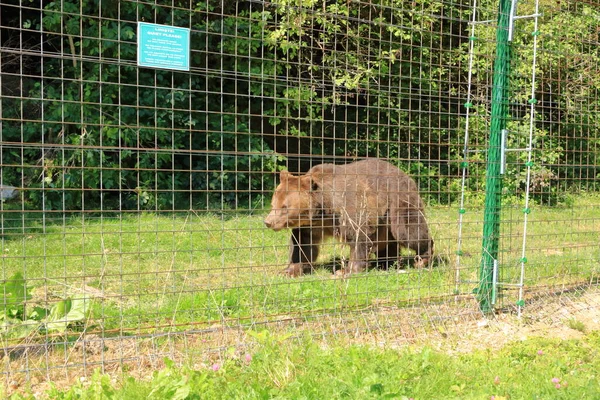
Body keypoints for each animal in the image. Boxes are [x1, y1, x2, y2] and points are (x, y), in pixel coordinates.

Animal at [264, 158, 434, 276]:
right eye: (273, 204)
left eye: (284, 207)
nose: (268, 222)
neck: (324, 209)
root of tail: (407, 176)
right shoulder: (311, 226)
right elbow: (302, 245)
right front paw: (288, 270)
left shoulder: (349, 208)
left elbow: (359, 236)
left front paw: (346, 270)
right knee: (387, 241)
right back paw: (386, 263)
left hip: (397, 200)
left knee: (408, 231)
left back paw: (422, 259)